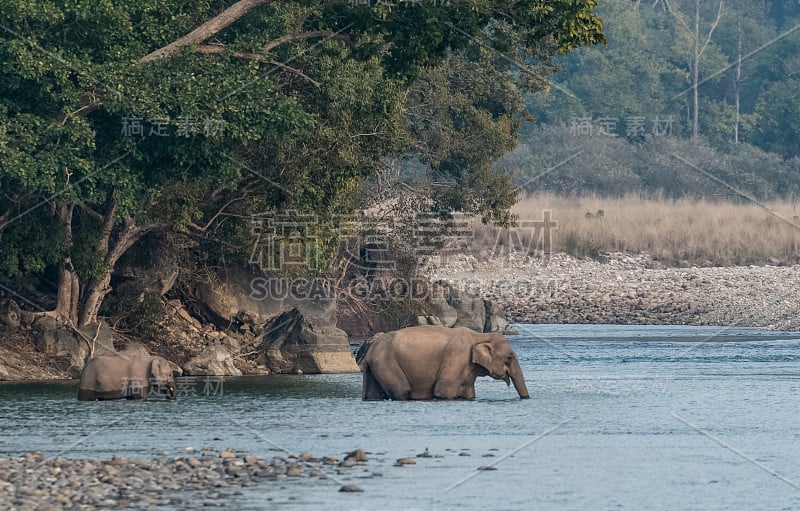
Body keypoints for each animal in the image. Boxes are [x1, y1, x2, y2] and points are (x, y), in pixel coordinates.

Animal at [358, 326, 532, 402]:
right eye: (509, 357)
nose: (526, 398)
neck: (479, 335)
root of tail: (371, 347)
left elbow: (469, 394)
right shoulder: (457, 357)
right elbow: (443, 391)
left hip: (376, 366)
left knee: (373, 395)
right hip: (386, 364)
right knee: (402, 391)